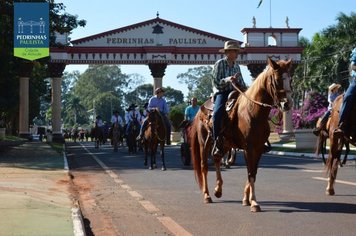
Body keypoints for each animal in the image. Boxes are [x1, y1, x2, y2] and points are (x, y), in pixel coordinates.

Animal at [191, 57, 294, 212]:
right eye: (276, 80)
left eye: (290, 79)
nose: (287, 104)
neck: (252, 112)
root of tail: (200, 110)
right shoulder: (248, 148)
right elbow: (250, 173)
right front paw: (254, 202)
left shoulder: (258, 149)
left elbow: (253, 173)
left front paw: (246, 199)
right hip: (205, 143)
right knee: (204, 166)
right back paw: (207, 195)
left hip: (224, 144)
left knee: (217, 158)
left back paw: (218, 190)